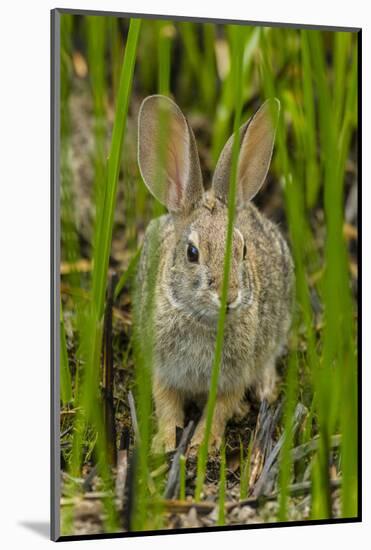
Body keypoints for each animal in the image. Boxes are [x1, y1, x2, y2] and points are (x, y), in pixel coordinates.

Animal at [135, 96, 294, 458]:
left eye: (243, 249)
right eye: (192, 253)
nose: (230, 296)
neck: (201, 320)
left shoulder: (233, 375)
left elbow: (219, 409)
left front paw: (202, 446)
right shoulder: (163, 368)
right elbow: (166, 404)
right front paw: (164, 444)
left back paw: (264, 390)